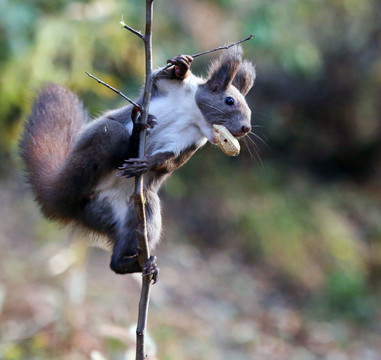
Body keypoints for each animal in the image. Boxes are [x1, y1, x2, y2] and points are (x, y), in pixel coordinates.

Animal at [18, 45, 255, 280]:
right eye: (229, 100)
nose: (246, 128)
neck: (193, 113)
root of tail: (62, 200)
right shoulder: (161, 89)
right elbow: (157, 77)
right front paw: (181, 67)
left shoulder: (188, 143)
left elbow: (169, 161)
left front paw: (147, 165)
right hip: (94, 152)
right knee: (110, 140)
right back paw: (134, 138)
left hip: (123, 212)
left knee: (119, 255)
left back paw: (133, 264)